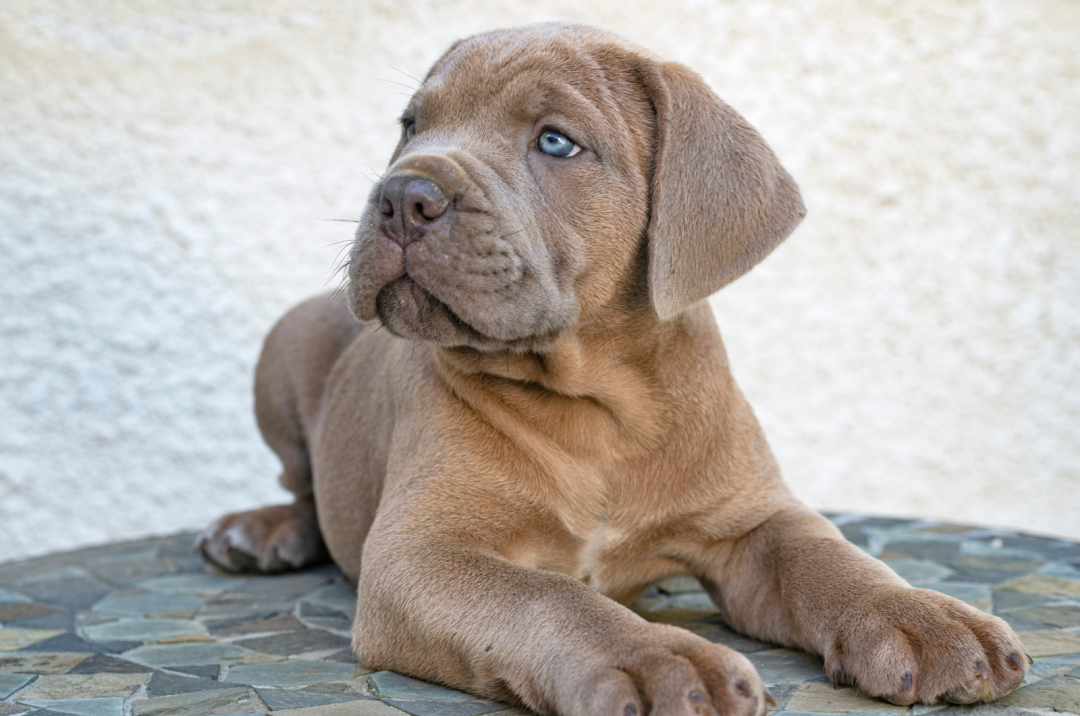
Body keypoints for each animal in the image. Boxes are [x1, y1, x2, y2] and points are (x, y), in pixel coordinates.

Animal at [198, 22, 1032, 716]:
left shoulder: (754, 521)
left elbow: (834, 560)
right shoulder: (422, 553)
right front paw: (657, 658)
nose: (402, 194)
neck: (598, 401)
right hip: (285, 347)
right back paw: (262, 532)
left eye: (556, 142)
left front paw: (924, 616)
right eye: (411, 126)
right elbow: (547, 598)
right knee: (300, 481)